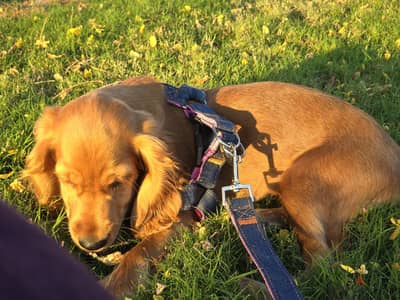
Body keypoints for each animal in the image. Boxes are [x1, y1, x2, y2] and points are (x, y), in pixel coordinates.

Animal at [24, 76, 400, 296]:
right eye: (66, 180)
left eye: (119, 183)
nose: (92, 244)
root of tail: (395, 157)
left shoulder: (180, 217)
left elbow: (137, 252)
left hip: (303, 177)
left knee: (320, 269)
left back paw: (248, 284)